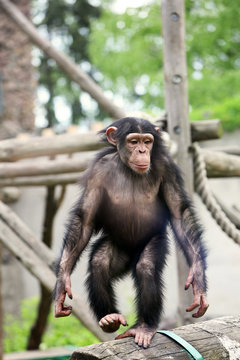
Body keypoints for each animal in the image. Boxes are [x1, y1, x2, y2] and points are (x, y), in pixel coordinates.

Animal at [54, 117, 208, 348]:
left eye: (148, 141)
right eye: (134, 141)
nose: (143, 151)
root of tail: (130, 258)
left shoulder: (167, 167)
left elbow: (179, 214)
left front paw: (198, 279)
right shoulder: (97, 171)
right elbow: (84, 220)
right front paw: (61, 284)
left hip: (153, 243)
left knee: (145, 267)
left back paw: (144, 326)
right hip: (117, 248)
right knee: (99, 264)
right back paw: (109, 318)